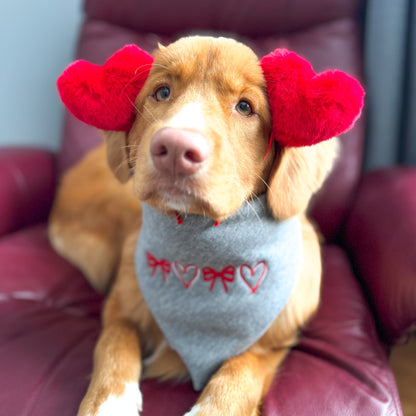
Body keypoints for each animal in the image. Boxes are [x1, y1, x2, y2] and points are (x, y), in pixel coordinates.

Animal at [48, 36, 360, 416]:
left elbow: (240, 370)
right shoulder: (119, 302)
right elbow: (113, 342)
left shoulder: (273, 344)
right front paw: (108, 403)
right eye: (162, 92)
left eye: (245, 107)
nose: (175, 148)